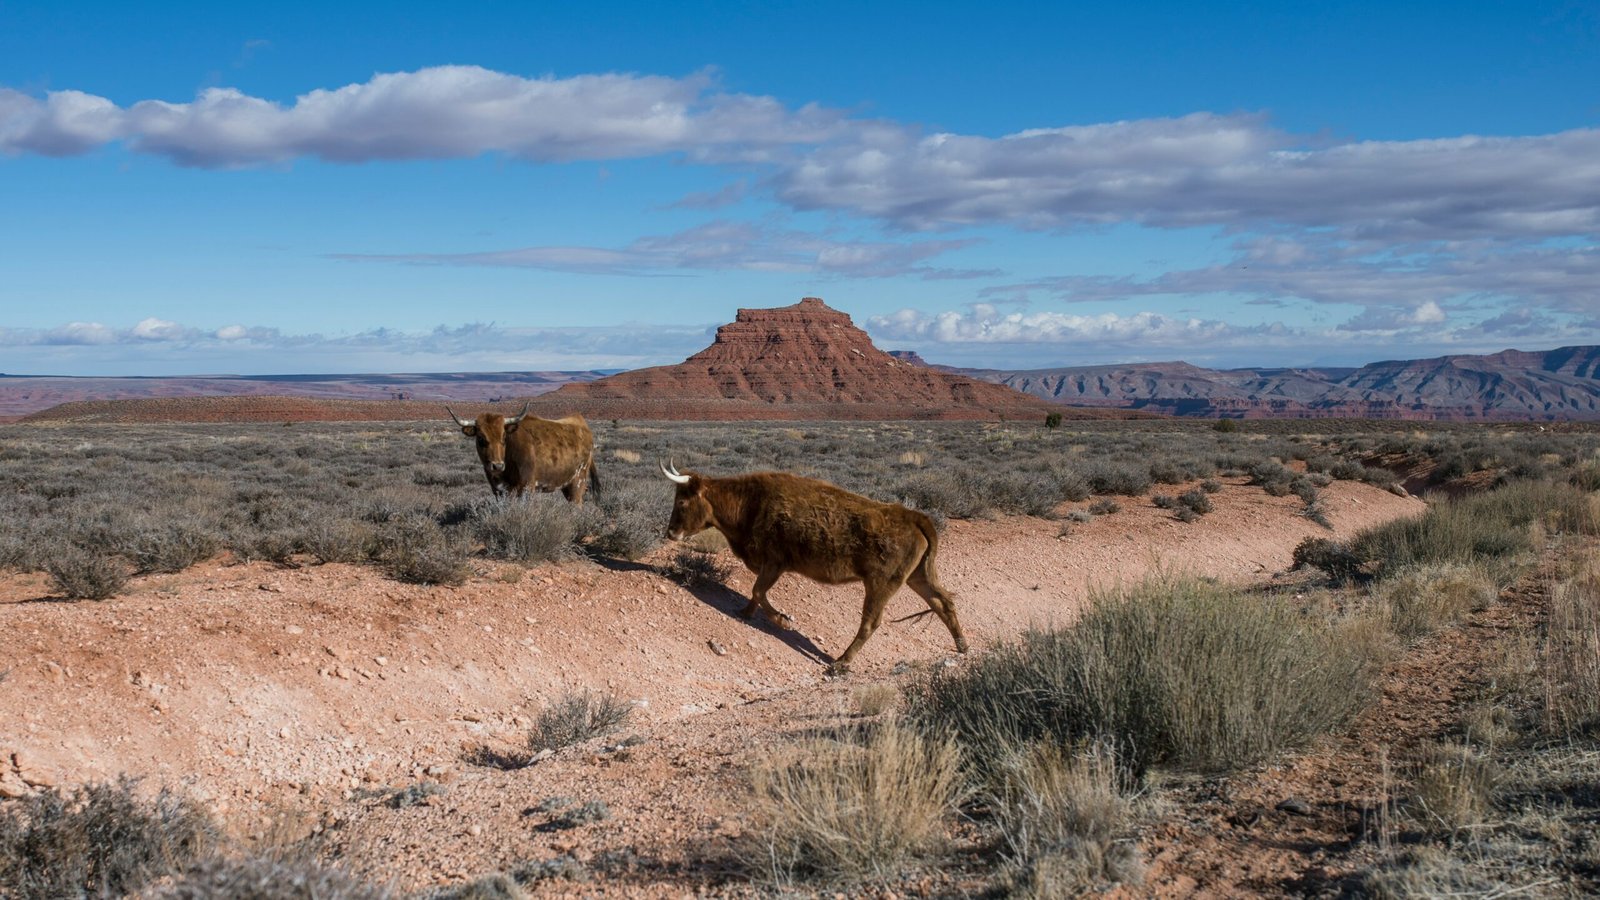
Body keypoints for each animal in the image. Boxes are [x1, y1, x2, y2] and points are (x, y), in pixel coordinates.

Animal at [451, 400, 601, 499]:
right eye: (481, 438)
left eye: (504, 437)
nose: (497, 466)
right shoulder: (499, 491)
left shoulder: (527, 488)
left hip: (577, 482)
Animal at [656, 461, 966, 666]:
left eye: (682, 502)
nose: (670, 532)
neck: (751, 503)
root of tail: (914, 516)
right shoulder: (771, 565)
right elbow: (756, 594)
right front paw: (745, 612)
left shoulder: (774, 563)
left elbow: (758, 591)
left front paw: (782, 619)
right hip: (918, 577)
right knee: (943, 603)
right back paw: (962, 645)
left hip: (881, 584)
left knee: (871, 621)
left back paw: (841, 663)